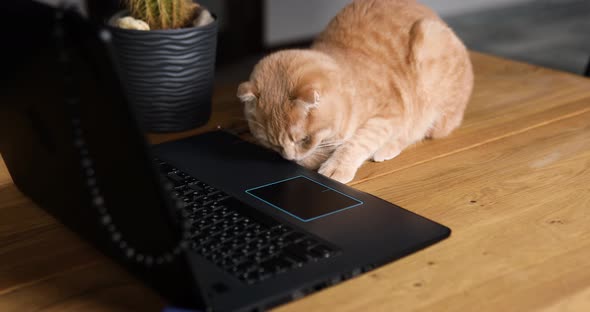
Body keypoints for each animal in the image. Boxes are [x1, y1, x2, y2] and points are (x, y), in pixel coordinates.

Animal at [238, 0, 474, 183]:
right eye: (272, 144)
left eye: (304, 139)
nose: (289, 158)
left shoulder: (390, 113)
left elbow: (357, 142)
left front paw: (335, 166)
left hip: (431, 57)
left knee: (419, 130)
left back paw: (386, 149)